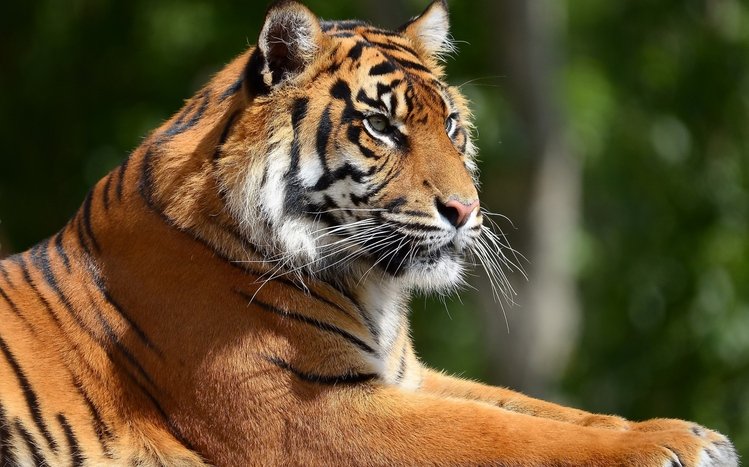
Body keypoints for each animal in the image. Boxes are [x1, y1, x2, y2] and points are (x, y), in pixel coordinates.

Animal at [0, 0, 739, 465]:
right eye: (381, 126)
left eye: (451, 126)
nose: (465, 209)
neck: (368, 285)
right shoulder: (310, 411)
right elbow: (502, 433)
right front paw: (668, 446)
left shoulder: (406, 377)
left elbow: (535, 408)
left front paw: (688, 431)